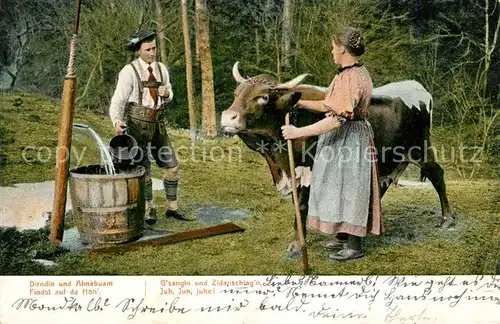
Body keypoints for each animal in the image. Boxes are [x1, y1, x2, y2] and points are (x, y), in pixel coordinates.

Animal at [221, 60, 456, 258]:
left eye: (263, 97)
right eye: (236, 93)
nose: (227, 118)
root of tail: (416, 86)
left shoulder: (309, 171)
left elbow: (302, 206)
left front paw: (297, 245)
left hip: (420, 148)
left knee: (437, 174)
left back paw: (447, 219)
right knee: (382, 184)